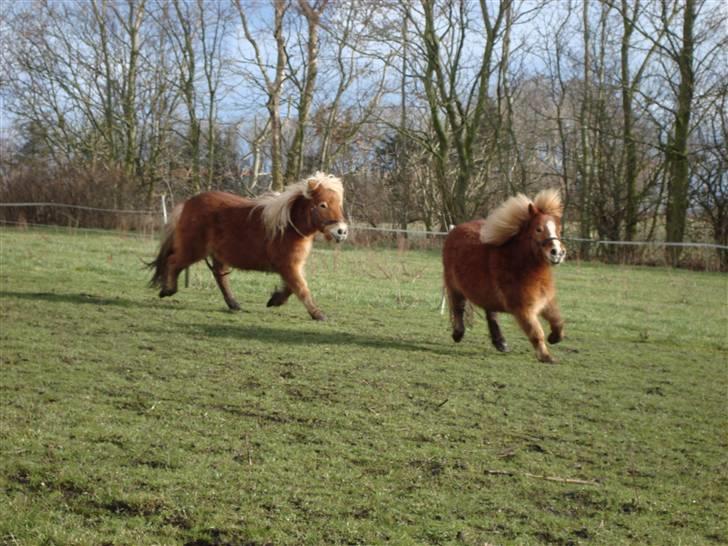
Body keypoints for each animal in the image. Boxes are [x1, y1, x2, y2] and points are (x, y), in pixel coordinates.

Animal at [148, 171, 346, 318]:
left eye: (339, 204)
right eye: (322, 205)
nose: (341, 231)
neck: (287, 226)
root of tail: (187, 203)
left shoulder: (292, 266)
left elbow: (292, 287)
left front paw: (275, 300)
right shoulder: (288, 266)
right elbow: (301, 289)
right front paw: (317, 314)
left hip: (217, 254)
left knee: (219, 276)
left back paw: (233, 304)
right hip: (193, 250)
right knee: (173, 262)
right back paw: (168, 290)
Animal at [444, 187, 568, 362]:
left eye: (558, 229)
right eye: (538, 229)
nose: (557, 253)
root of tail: (455, 230)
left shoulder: (545, 302)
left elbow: (558, 321)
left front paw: (554, 338)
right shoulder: (523, 309)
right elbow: (536, 332)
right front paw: (546, 357)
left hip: (486, 294)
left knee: (491, 314)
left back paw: (500, 343)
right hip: (454, 286)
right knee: (458, 308)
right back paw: (458, 334)